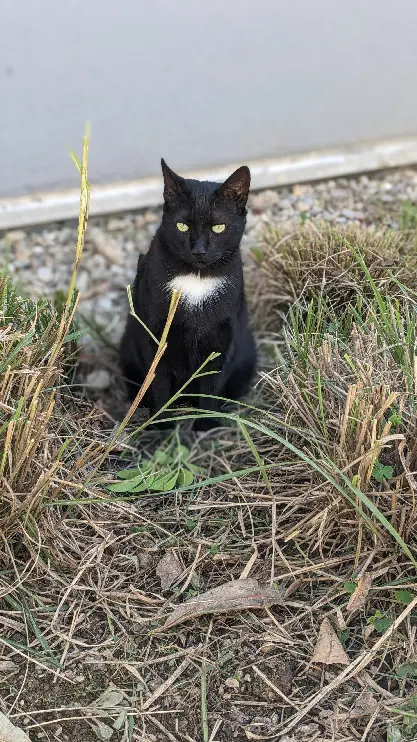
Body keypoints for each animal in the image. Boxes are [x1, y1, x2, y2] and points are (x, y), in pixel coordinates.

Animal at [118, 160, 255, 434]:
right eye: (183, 226)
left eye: (218, 227)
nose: (199, 250)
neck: (196, 279)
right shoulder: (155, 334)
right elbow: (157, 381)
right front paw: (160, 426)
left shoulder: (223, 338)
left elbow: (212, 386)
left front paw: (206, 426)